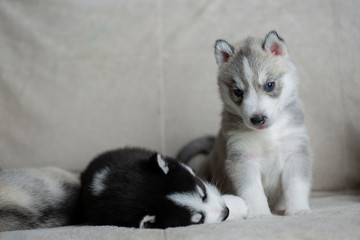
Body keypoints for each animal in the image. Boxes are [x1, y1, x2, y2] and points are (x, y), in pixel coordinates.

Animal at [178, 31, 312, 218]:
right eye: (238, 92)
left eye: (269, 85)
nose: (258, 119)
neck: (267, 133)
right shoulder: (243, 158)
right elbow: (252, 190)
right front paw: (259, 213)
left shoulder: (295, 152)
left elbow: (296, 185)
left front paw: (298, 210)